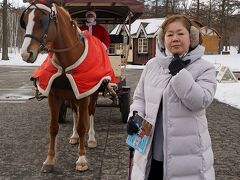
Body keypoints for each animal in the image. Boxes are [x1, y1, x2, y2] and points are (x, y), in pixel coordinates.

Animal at [19, 0, 112, 173]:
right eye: (25, 20)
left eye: (43, 20)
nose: (25, 54)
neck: (66, 61)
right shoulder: (54, 96)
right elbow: (53, 127)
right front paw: (49, 160)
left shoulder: (84, 94)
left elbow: (83, 125)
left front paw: (81, 159)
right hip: (71, 96)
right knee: (75, 113)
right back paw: (74, 136)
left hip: (92, 94)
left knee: (90, 114)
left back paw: (91, 138)